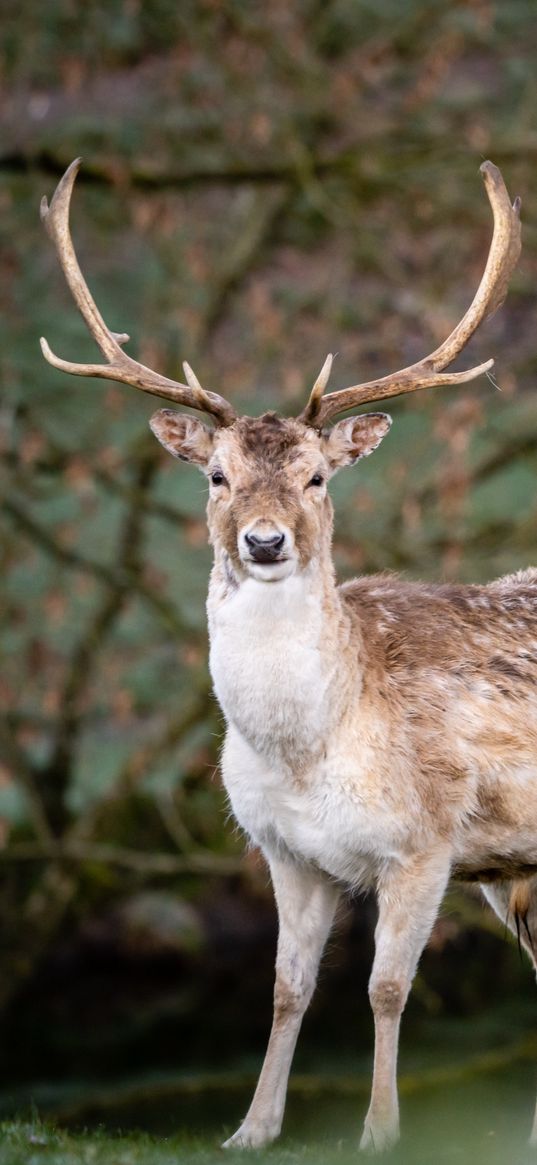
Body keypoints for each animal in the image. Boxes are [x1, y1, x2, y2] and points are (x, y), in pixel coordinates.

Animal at [37, 157, 531, 1155]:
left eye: (316, 475)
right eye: (215, 474)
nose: (263, 542)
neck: (309, 747)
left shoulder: (426, 840)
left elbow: (385, 987)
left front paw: (380, 1131)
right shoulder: (286, 851)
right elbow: (286, 988)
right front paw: (251, 1128)